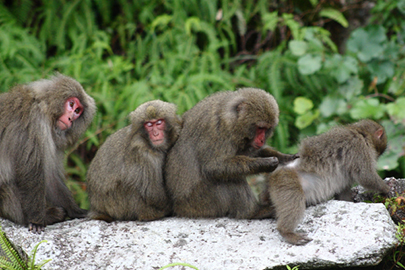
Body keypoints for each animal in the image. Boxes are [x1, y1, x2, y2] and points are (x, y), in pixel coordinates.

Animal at [163, 87, 296, 220]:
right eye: (260, 128)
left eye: (266, 129)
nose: (262, 140)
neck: (232, 121)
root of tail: (178, 207)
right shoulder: (218, 130)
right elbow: (214, 167)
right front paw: (265, 164)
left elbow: (253, 153)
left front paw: (285, 158)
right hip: (200, 202)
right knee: (230, 178)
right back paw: (253, 212)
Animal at [260, 119, 390, 246]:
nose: (377, 156)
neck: (359, 132)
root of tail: (276, 172)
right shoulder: (358, 146)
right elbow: (366, 176)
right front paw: (387, 188)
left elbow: (343, 192)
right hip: (286, 180)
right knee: (294, 199)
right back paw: (287, 232)